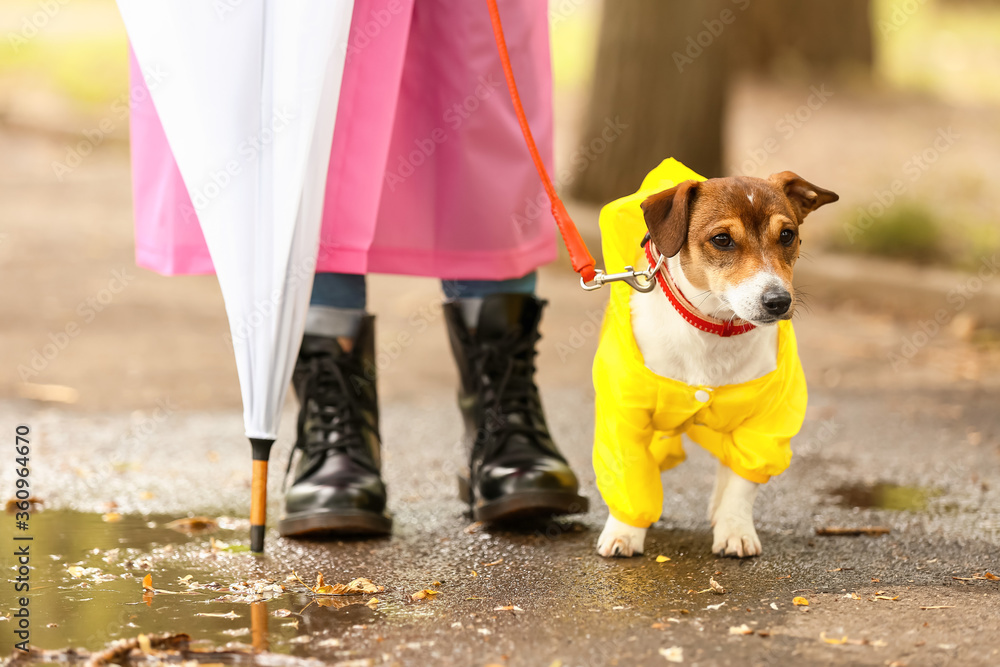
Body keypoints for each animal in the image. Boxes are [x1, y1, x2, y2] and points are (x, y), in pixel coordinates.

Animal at [592, 160, 836, 560]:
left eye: (787, 235)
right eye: (722, 239)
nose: (778, 301)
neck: (714, 330)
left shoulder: (764, 425)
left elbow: (741, 482)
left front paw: (734, 529)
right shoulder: (626, 416)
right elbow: (630, 474)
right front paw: (625, 532)